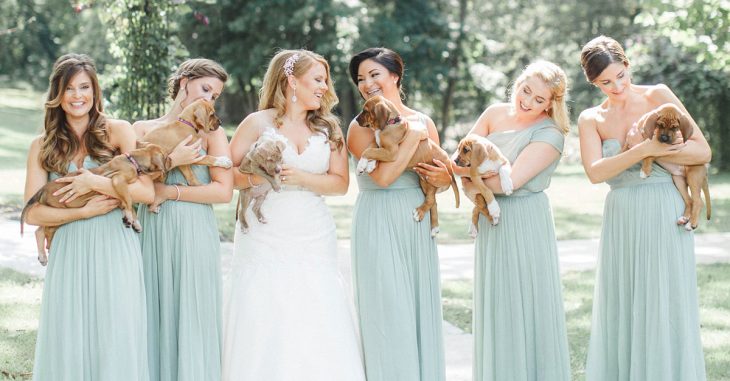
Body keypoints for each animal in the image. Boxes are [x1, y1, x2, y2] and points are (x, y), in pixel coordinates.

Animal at [21, 142, 168, 264]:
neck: (132, 160)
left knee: (39, 230)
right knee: (46, 231)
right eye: (165, 156)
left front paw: (133, 221)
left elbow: (128, 203)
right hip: (60, 213)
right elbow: (129, 199)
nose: (170, 161)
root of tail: (42, 189)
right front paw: (130, 217)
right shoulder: (118, 180)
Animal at [356, 94, 458, 235]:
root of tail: (449, 166)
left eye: (365, 111)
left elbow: (368, 151)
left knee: (431, 200)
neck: (390, 123)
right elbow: (372, 148)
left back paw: (420, 213)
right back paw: (434, 227)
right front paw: (370, 165)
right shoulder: (381, 147)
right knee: (433, 202)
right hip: (424, 182)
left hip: (430, 180)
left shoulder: (392, 152)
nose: (355, 120)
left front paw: (361, 165)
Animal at [624, 101, 708, 230]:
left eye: (675, 128)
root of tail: (705, 169)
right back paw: (684, 218)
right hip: (679, 180)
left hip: (693, 176)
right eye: (660, 125)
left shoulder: (659, 150)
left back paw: (691, 223)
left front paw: (645, 171)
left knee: (698, 201)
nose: (664, 138)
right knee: (689, 201)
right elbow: (626, 148)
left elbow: (648, 155)